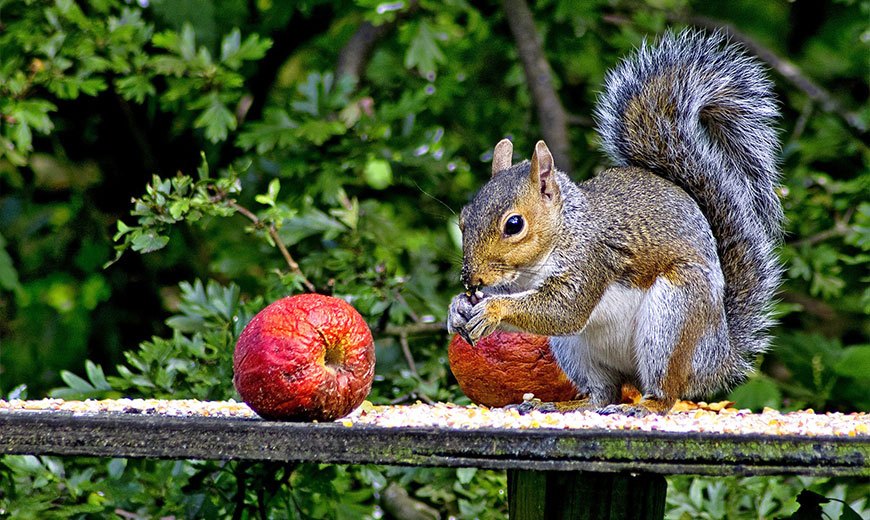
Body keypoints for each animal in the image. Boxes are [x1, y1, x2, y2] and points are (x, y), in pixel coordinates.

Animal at [450, 30, 784, 416]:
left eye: (514, 225)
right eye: (463, 219)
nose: (471, 279)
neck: (564, 232)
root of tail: (716, 356)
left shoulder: (591, 260)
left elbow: (564, 310)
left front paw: (492, 308)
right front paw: (457, 308)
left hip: (674, 317)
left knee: (665, 390)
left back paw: (644, 407)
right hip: (576, 350)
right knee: (602, 392)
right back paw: (562, 406)